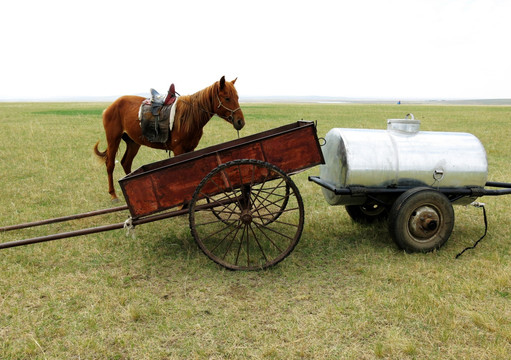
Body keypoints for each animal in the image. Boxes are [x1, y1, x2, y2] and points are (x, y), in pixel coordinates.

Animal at [94, 76, 246, 201]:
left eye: (237, 97)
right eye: (227, 98)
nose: (240, 122)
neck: (190, 116)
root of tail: (110, 106)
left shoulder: (191, 148)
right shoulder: (178, 149)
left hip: (133, 142)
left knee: (126, 162)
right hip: (113, 139)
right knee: (110, 164)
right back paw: (113, 195)